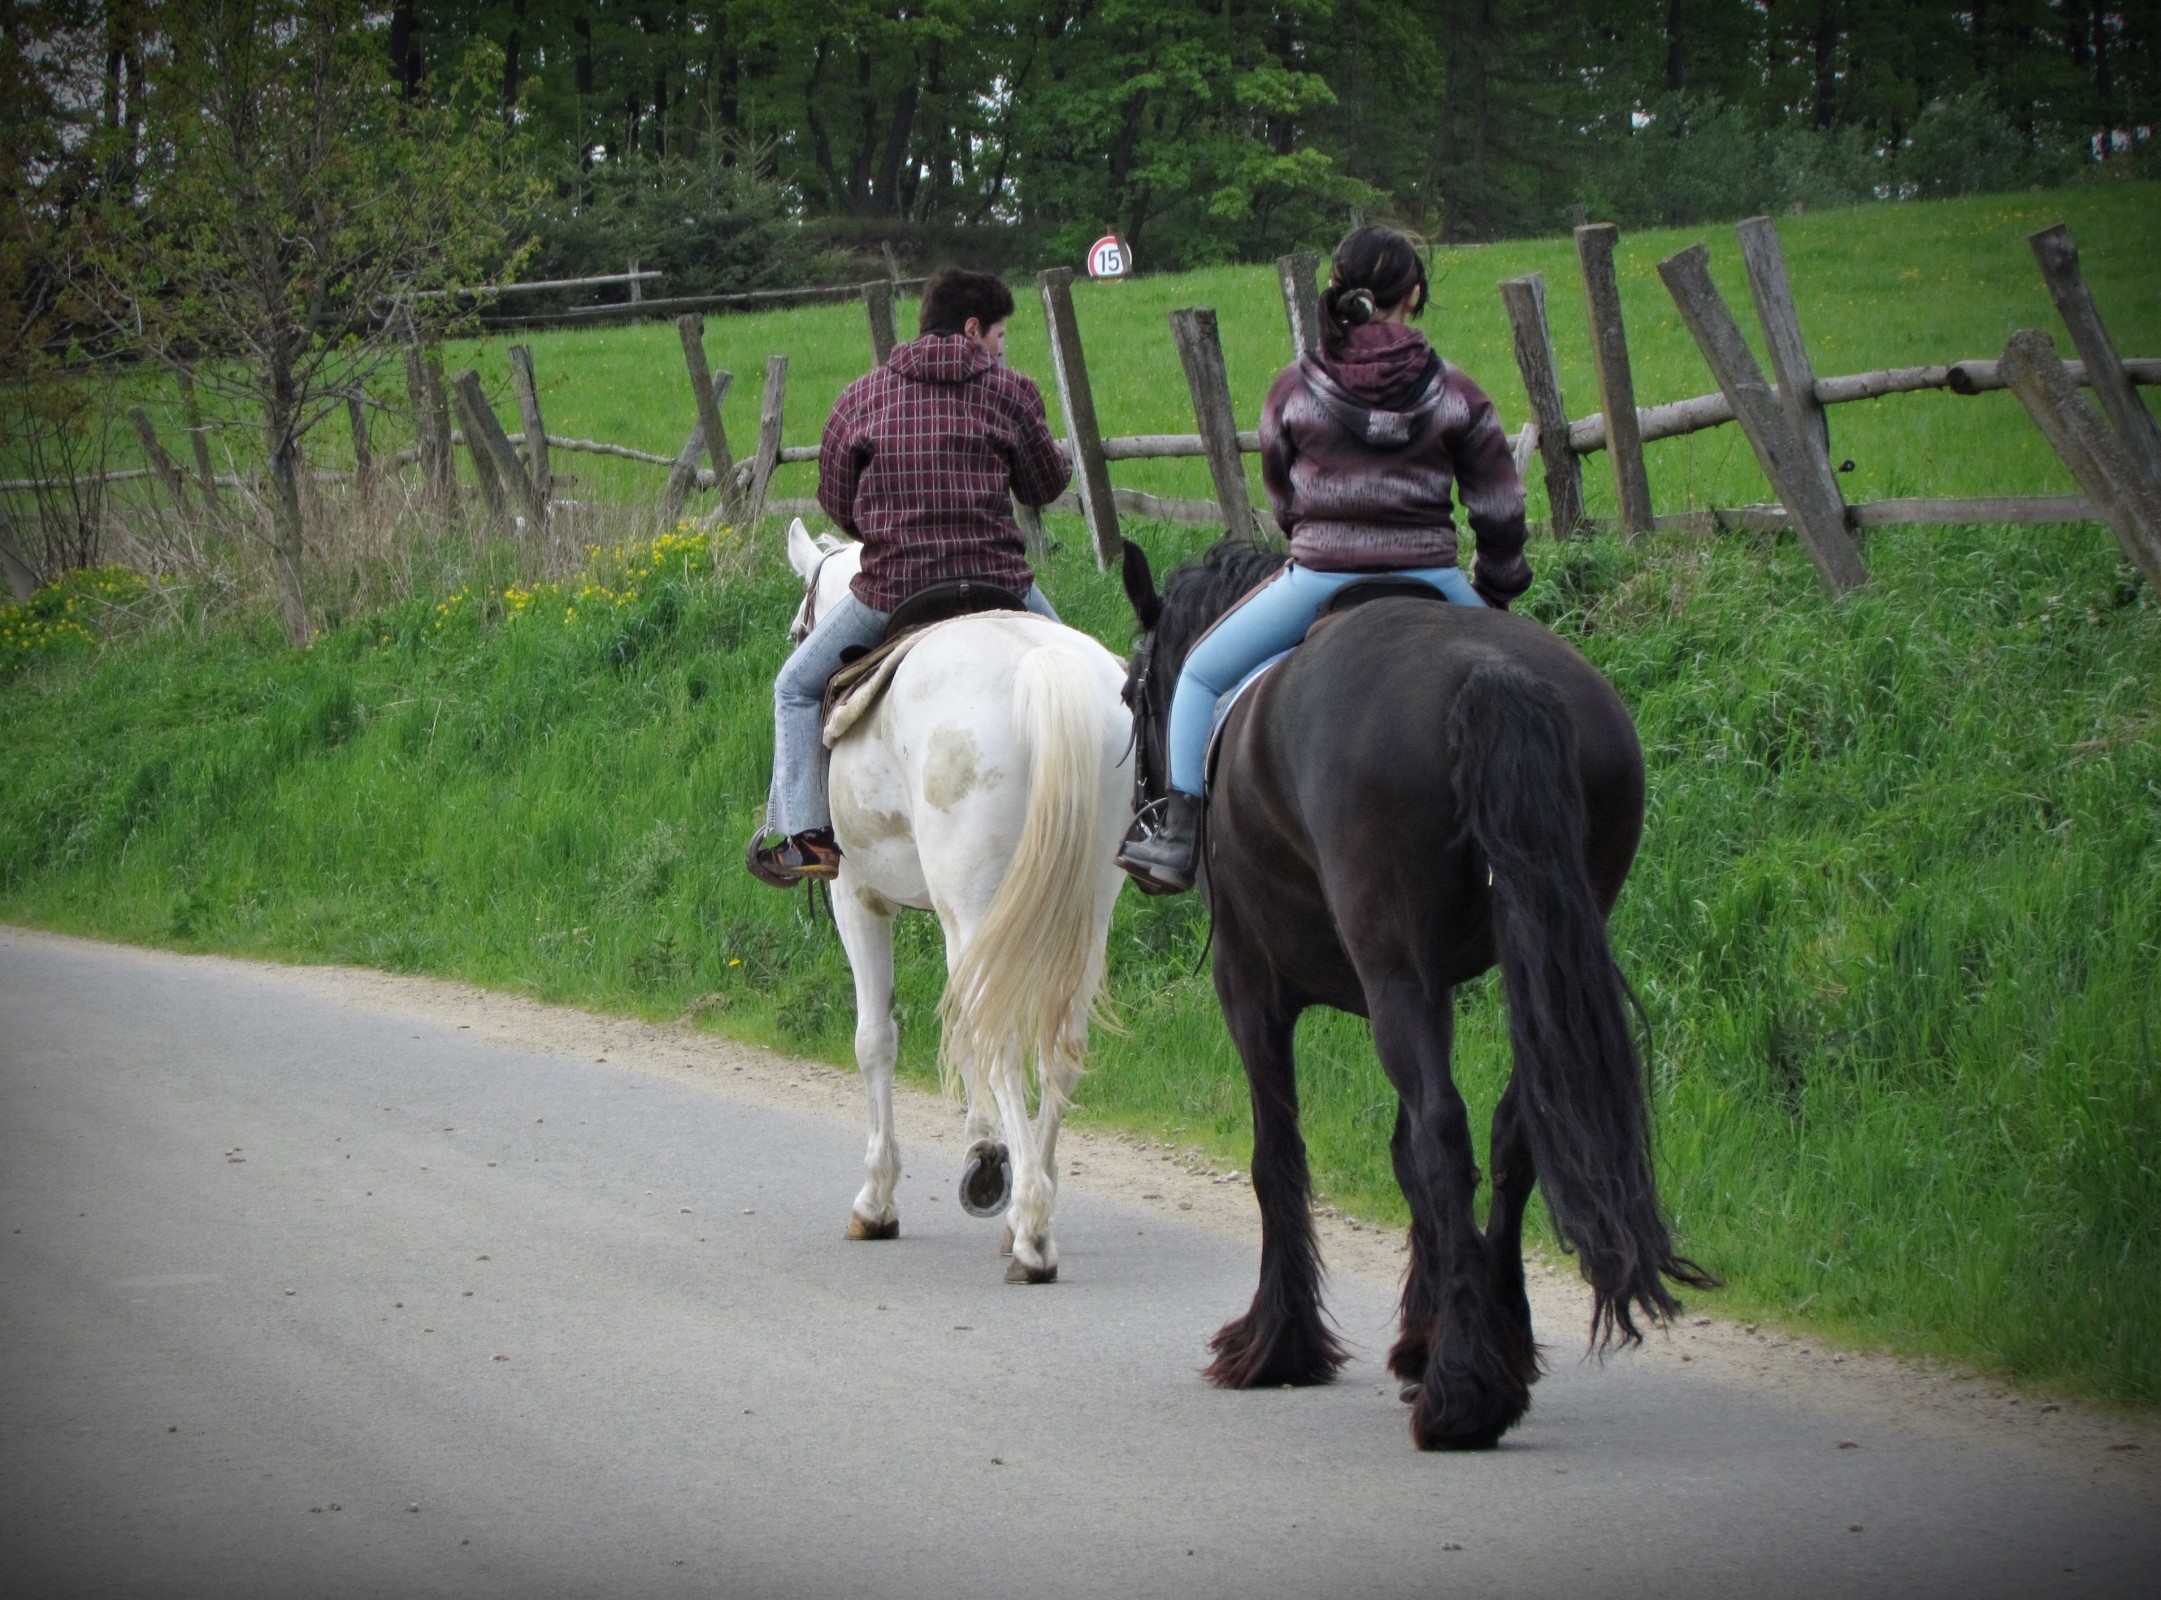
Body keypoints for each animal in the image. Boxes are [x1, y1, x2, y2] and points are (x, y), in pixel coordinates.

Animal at [777, 519, 1131, 1283]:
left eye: (798, 630)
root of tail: (1039, 669)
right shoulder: (962, 920)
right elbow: (963, 1022)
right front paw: (984, 1153)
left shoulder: (858, 898)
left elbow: (876, 1040)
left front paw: (877, 1201)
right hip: (1083, 909)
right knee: (1059, 1042)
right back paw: (1030, 1209)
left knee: (1003, 1039)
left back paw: (1031, 1236)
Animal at [1118, 534, 1713, 1448]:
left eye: (1128, 691)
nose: (1145, 827)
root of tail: (1487, 676)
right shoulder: (1412, 986)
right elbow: (1401, 1156)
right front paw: (1417, 1336)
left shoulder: (1254, 983)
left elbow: (1279, 1153)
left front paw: (1279, 1345)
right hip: (1523, 958)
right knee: (1511, 1128)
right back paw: (1497, 1348)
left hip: (1388, 969)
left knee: (1443, 1130)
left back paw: (1463, 1393)